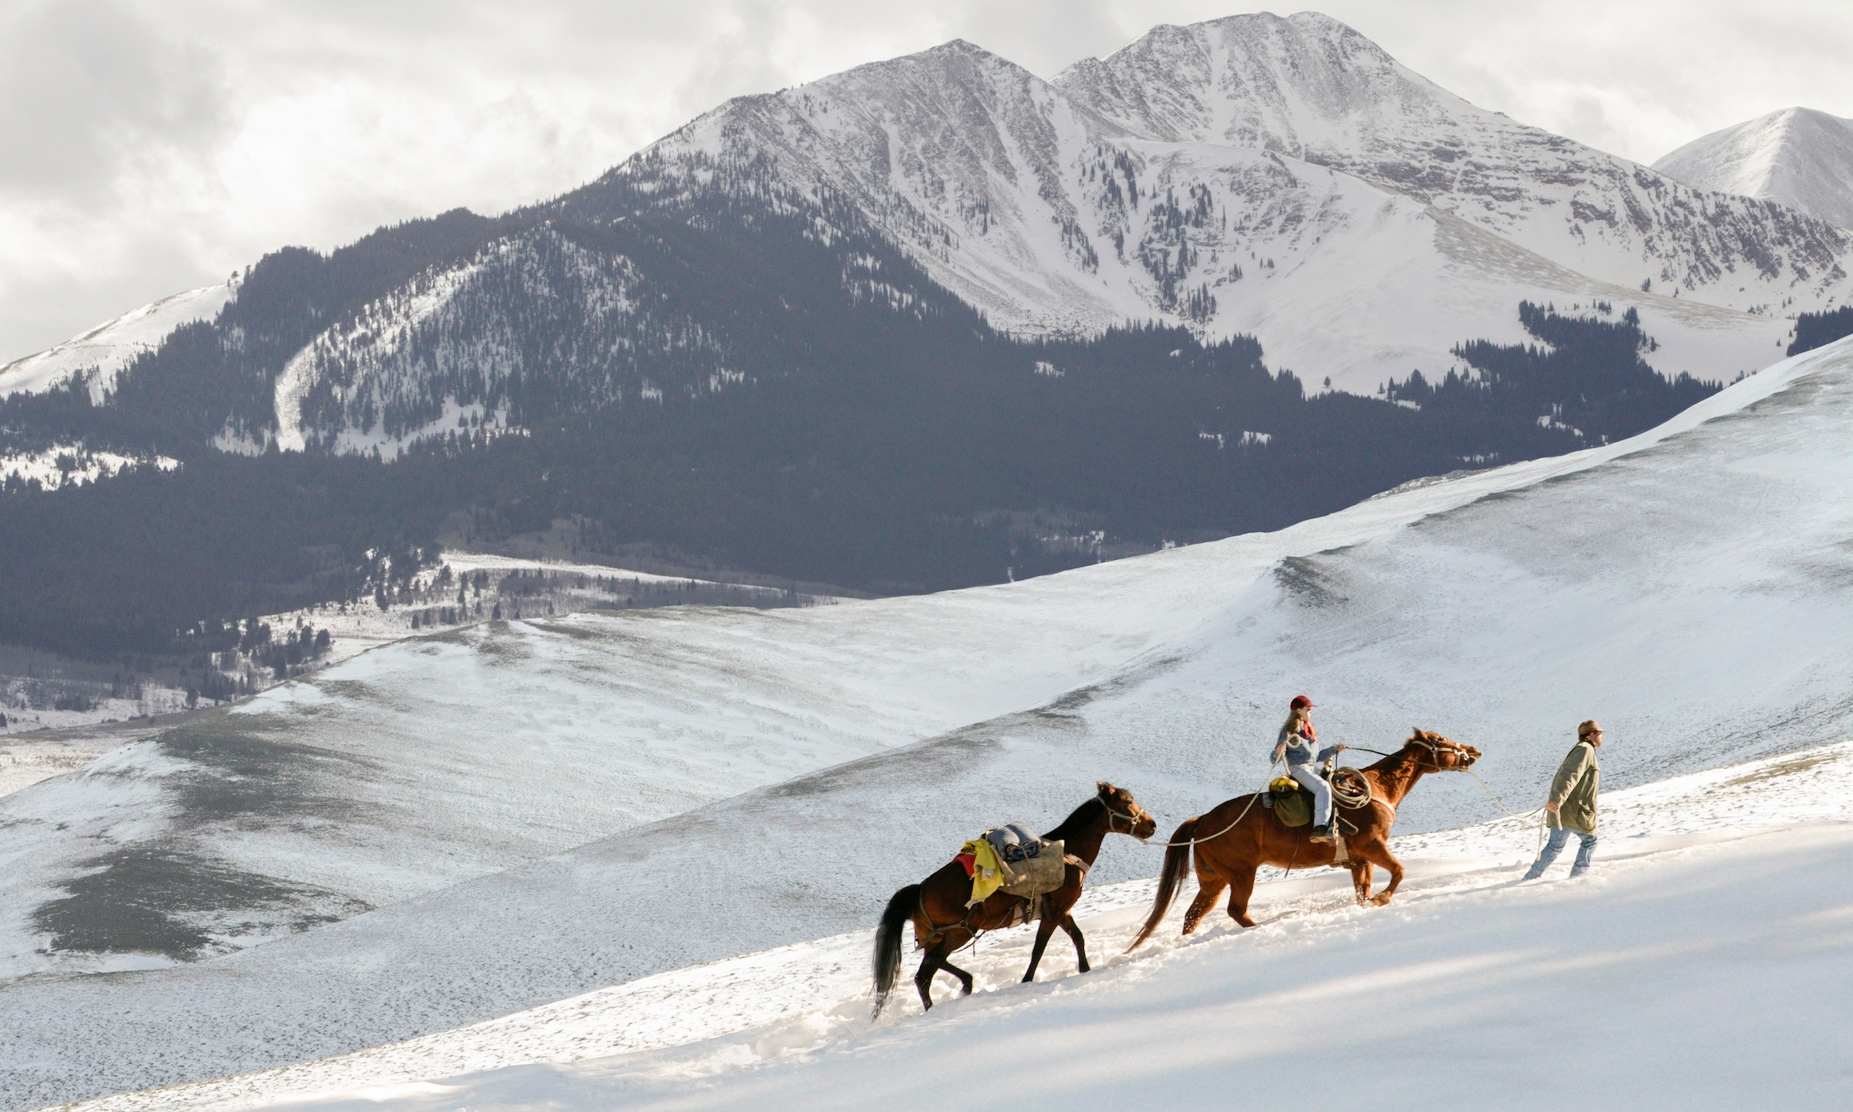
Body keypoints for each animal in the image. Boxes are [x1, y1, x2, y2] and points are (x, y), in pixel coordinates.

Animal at [870, 782, 1156, 1015]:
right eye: (1127, 802)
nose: (1151, 824)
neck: (1068, 854)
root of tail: (919, 890)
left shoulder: (1062, 912)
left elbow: (1078, 937)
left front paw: (1084, 969)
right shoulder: (1054, 913)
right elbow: (1039, 948)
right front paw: (1027, 980)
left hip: (939, 936)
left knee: (934, 964)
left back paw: (967, 984)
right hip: (959, 932)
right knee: (925, 974)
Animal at [1119, 730, 1482, 945]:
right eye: (1444, 740)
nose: (1473, 750)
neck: (1376, 789)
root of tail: (1203, 820)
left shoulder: (1358, 860)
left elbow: (1363, 891)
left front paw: (1371, 901)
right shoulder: (1372, 846)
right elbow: (1398, 871)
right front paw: (1383, 899)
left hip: (1214, 881)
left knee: (1193, 916)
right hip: (1241, 874)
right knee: (1236, 910)